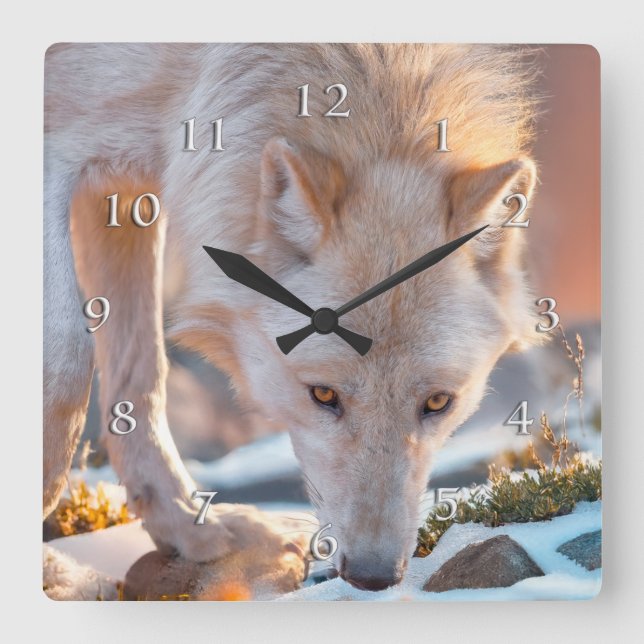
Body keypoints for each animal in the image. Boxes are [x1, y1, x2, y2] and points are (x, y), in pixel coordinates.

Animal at [44, 43, 543, 591]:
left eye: (438, 403)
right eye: (323, 395)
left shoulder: (126, 192)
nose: (373, 576)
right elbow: (66, 364)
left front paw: (194, 531)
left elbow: (141, 376)